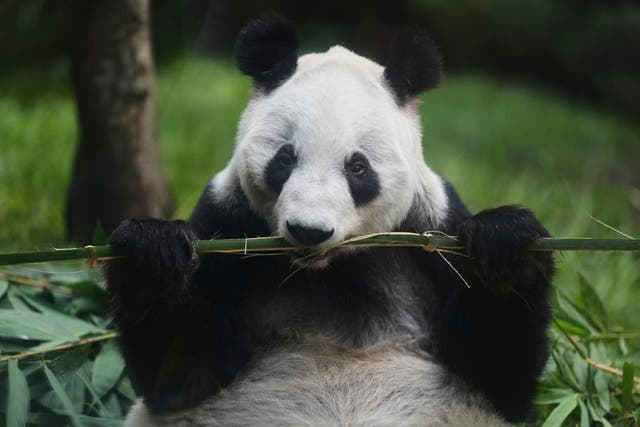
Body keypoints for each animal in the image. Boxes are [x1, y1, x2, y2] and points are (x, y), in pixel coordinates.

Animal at [104, 16, 554, 427]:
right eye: (284, 159)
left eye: (358, 168)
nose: (309, 230)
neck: (328, 270)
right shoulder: (227, 224)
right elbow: (180, 374)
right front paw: (152, 253)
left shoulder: (432, 232)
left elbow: (498, 373)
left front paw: (505, 247)